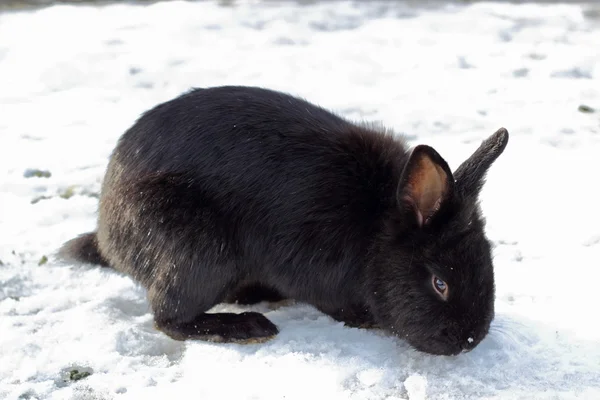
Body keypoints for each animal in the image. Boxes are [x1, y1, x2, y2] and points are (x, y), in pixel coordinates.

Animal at [59, 85, 510, 356]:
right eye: (439, 284)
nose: (470, 339)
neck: (375, 226)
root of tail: (108, 234)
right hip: (196, 249)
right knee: (169, 316)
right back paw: (245, 327)